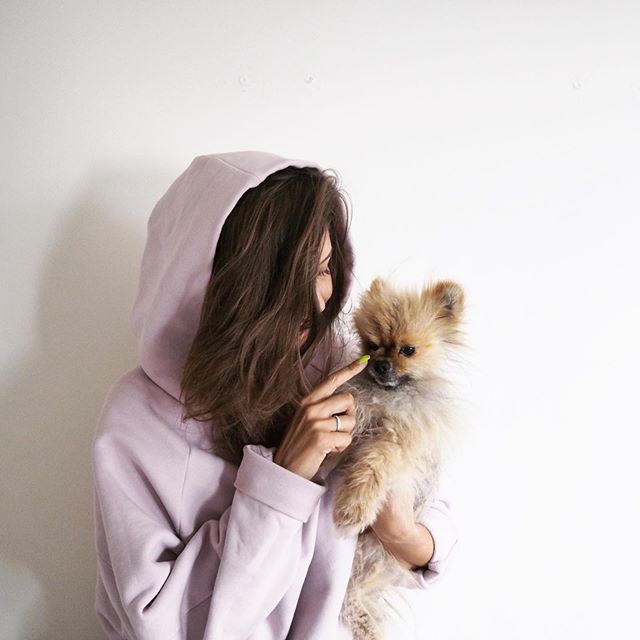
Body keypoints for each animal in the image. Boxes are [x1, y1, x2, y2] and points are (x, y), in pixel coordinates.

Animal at [320, 276, 470, 640]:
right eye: (372, 345)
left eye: (408, 350)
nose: (381, 365)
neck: (388, 398)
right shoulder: (356, 417)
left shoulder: (398, 444)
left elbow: (374, 466)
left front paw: (353, 508)